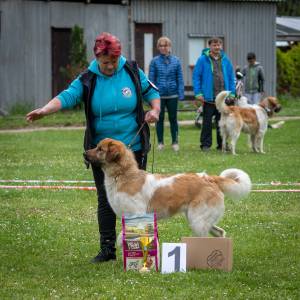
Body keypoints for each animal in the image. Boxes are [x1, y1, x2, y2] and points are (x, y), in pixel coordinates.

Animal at [83, 138, 252, 239]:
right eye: (96, 147)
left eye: (100, 149)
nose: (84, 153)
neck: (123, 175)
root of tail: (208, 178)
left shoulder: (138, 217)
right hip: (200, 220)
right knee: (220, 232)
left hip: (197, 221)